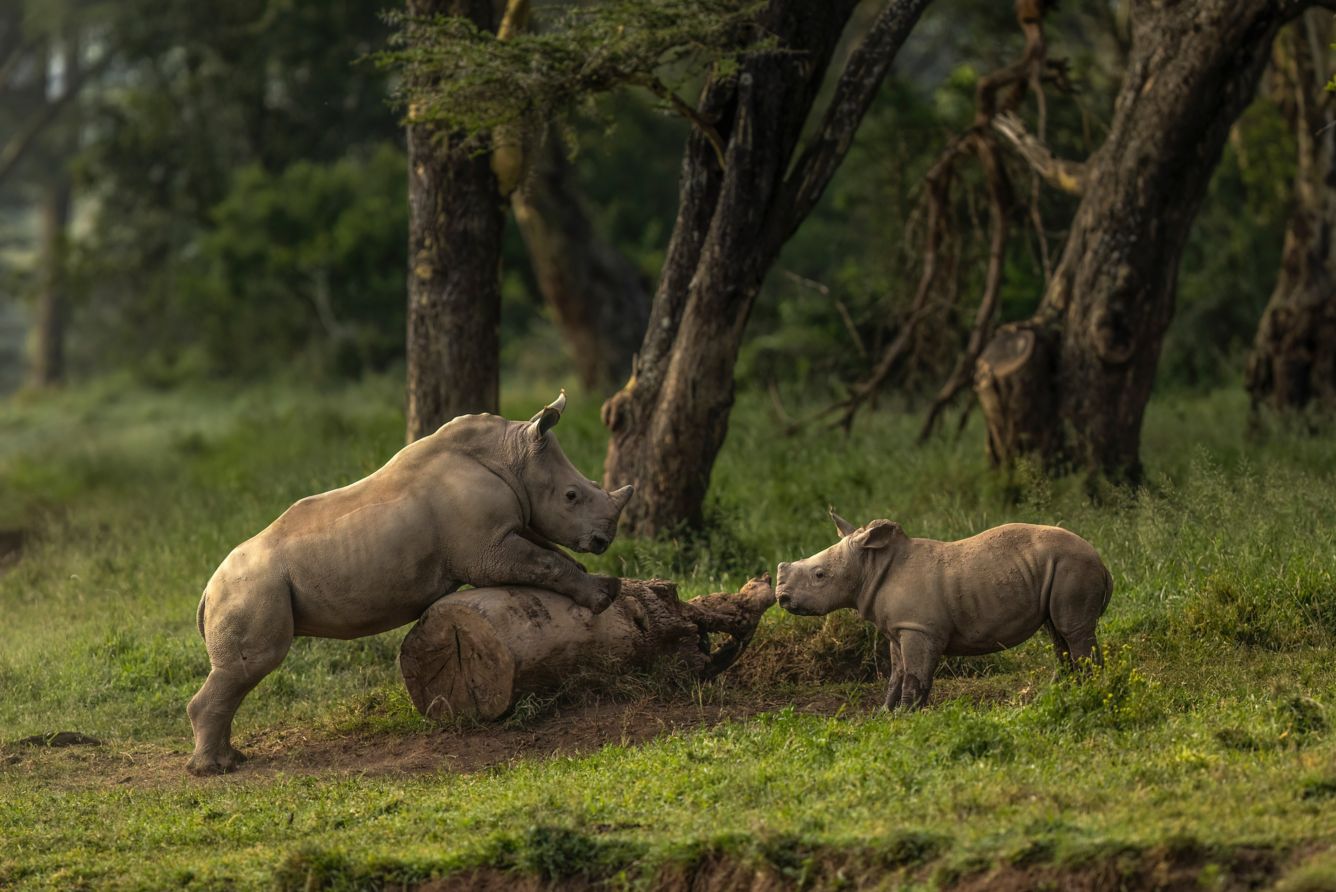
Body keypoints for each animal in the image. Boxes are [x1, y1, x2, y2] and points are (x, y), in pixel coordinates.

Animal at [187, 392, 633, 775]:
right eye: (571, 496)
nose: (604, 540)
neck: (513, 458)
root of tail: (207, 592)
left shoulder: (508, 531)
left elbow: (554, 555)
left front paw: (603, 583)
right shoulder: (487, 551)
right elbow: (544, 563)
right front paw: (602, 597)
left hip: (251, 588)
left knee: (239, 675)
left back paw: (231, 759)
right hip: (250, 589)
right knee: (252, 666)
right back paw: (214, 769)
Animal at [775, 510, 1112, 710]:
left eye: (820, 575)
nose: (781, 596)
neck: (870, 567)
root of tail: (1101, 559)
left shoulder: (918, 628)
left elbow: (914, 674)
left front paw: (906, 714)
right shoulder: (900, 629)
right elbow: (898, 673)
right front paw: (887, 712)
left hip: (1073, 566)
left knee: (1072, 631)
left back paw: (1089, 691)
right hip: (1059, 567)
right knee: (1057, 633)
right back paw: (1055, 694)